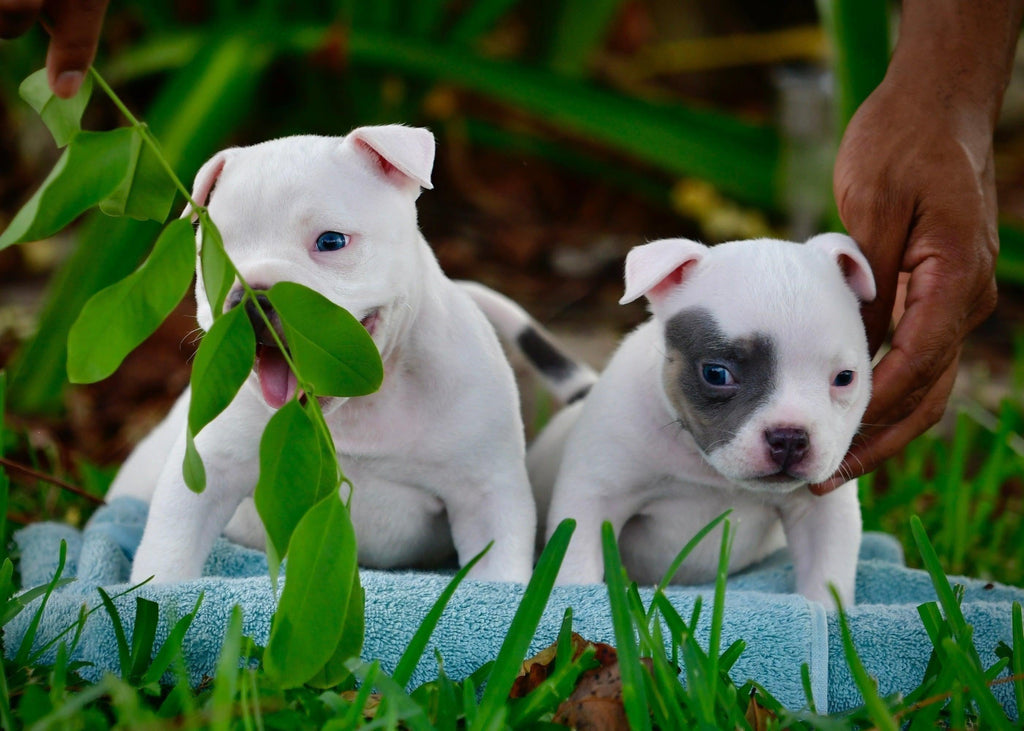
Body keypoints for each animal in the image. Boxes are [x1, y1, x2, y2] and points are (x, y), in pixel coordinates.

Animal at [103, 123, 536, 581]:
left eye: (331, 241)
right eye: (213, 258)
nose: (250, 299)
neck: (363, 405)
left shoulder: (486, 493)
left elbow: (497, 576)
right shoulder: (207, 472)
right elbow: (169, 552)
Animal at [468, 236, 876, 606]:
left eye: (845, 378)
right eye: (716, 373)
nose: (790, 437)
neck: (705, 467)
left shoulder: (822, 510)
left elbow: (826, 575)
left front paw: (827, 615)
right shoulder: (595, 498)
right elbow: (578, 564)